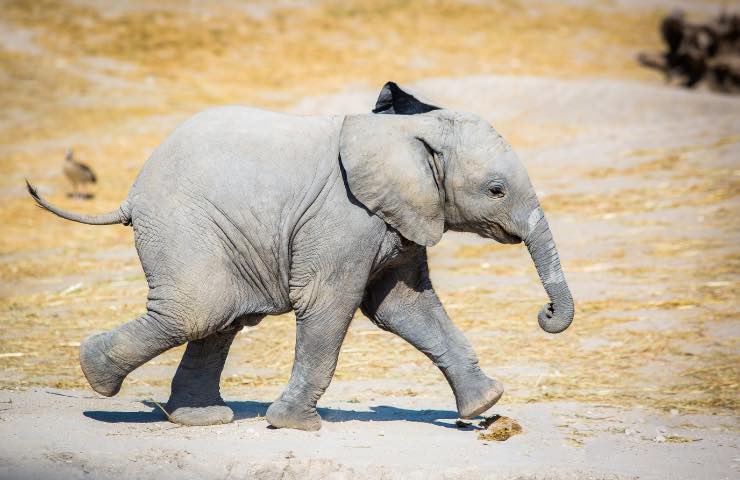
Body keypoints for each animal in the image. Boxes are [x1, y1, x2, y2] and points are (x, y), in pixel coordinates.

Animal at [27, 82, 572, 432]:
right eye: (496, 190)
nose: (545, 313)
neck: (406, 133)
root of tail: (132, 195)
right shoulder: (343, 218)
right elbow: (331, 306)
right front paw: (294, 425)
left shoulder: (402, 215)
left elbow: (405, 308)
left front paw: (485, 404)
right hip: (185, 227)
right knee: (198, 312)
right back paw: (96, 378)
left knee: (220, 320)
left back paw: (198, 418)